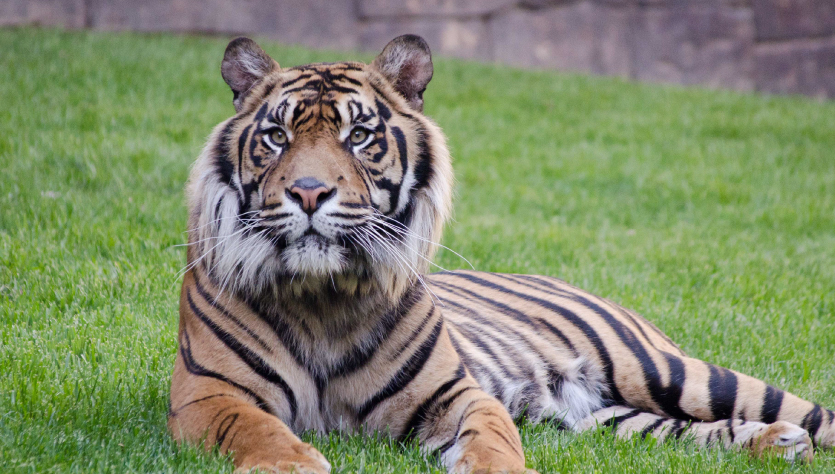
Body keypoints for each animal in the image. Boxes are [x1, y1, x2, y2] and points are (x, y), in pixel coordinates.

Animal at [170, 34, 835, 474]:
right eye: (276, 136)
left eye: (358, 136)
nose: (309, 192)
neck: (323, 294)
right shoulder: (210, 394)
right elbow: (256, 430)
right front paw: (295, 464)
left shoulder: (454, 394)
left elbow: (493, 438)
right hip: (612, 419)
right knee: (679, 431)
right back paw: (775, 443)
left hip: (672, 372)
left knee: (809, 414)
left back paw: (789, 437)